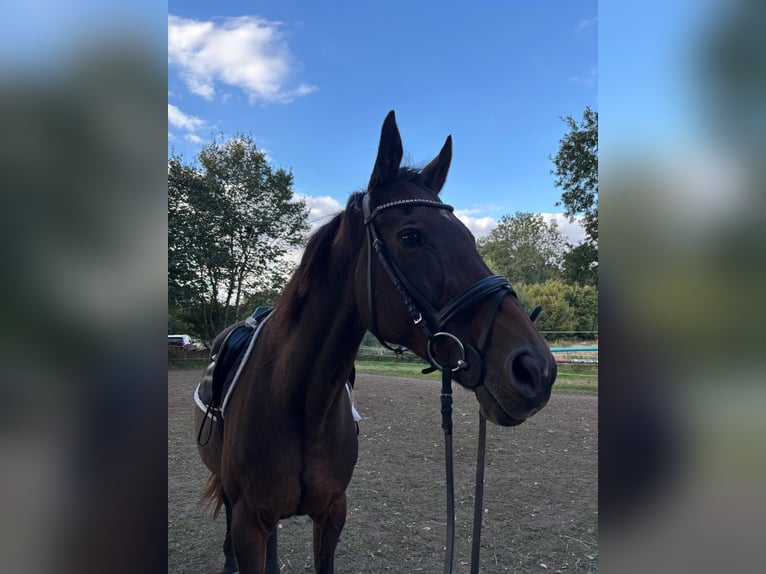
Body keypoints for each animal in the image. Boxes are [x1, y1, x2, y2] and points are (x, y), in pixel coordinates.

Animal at [195, 111, 557, 574]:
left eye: (471, 238)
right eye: (411, 236)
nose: (536, 370)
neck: (299, 405)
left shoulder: (332, 514)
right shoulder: (249, 521)